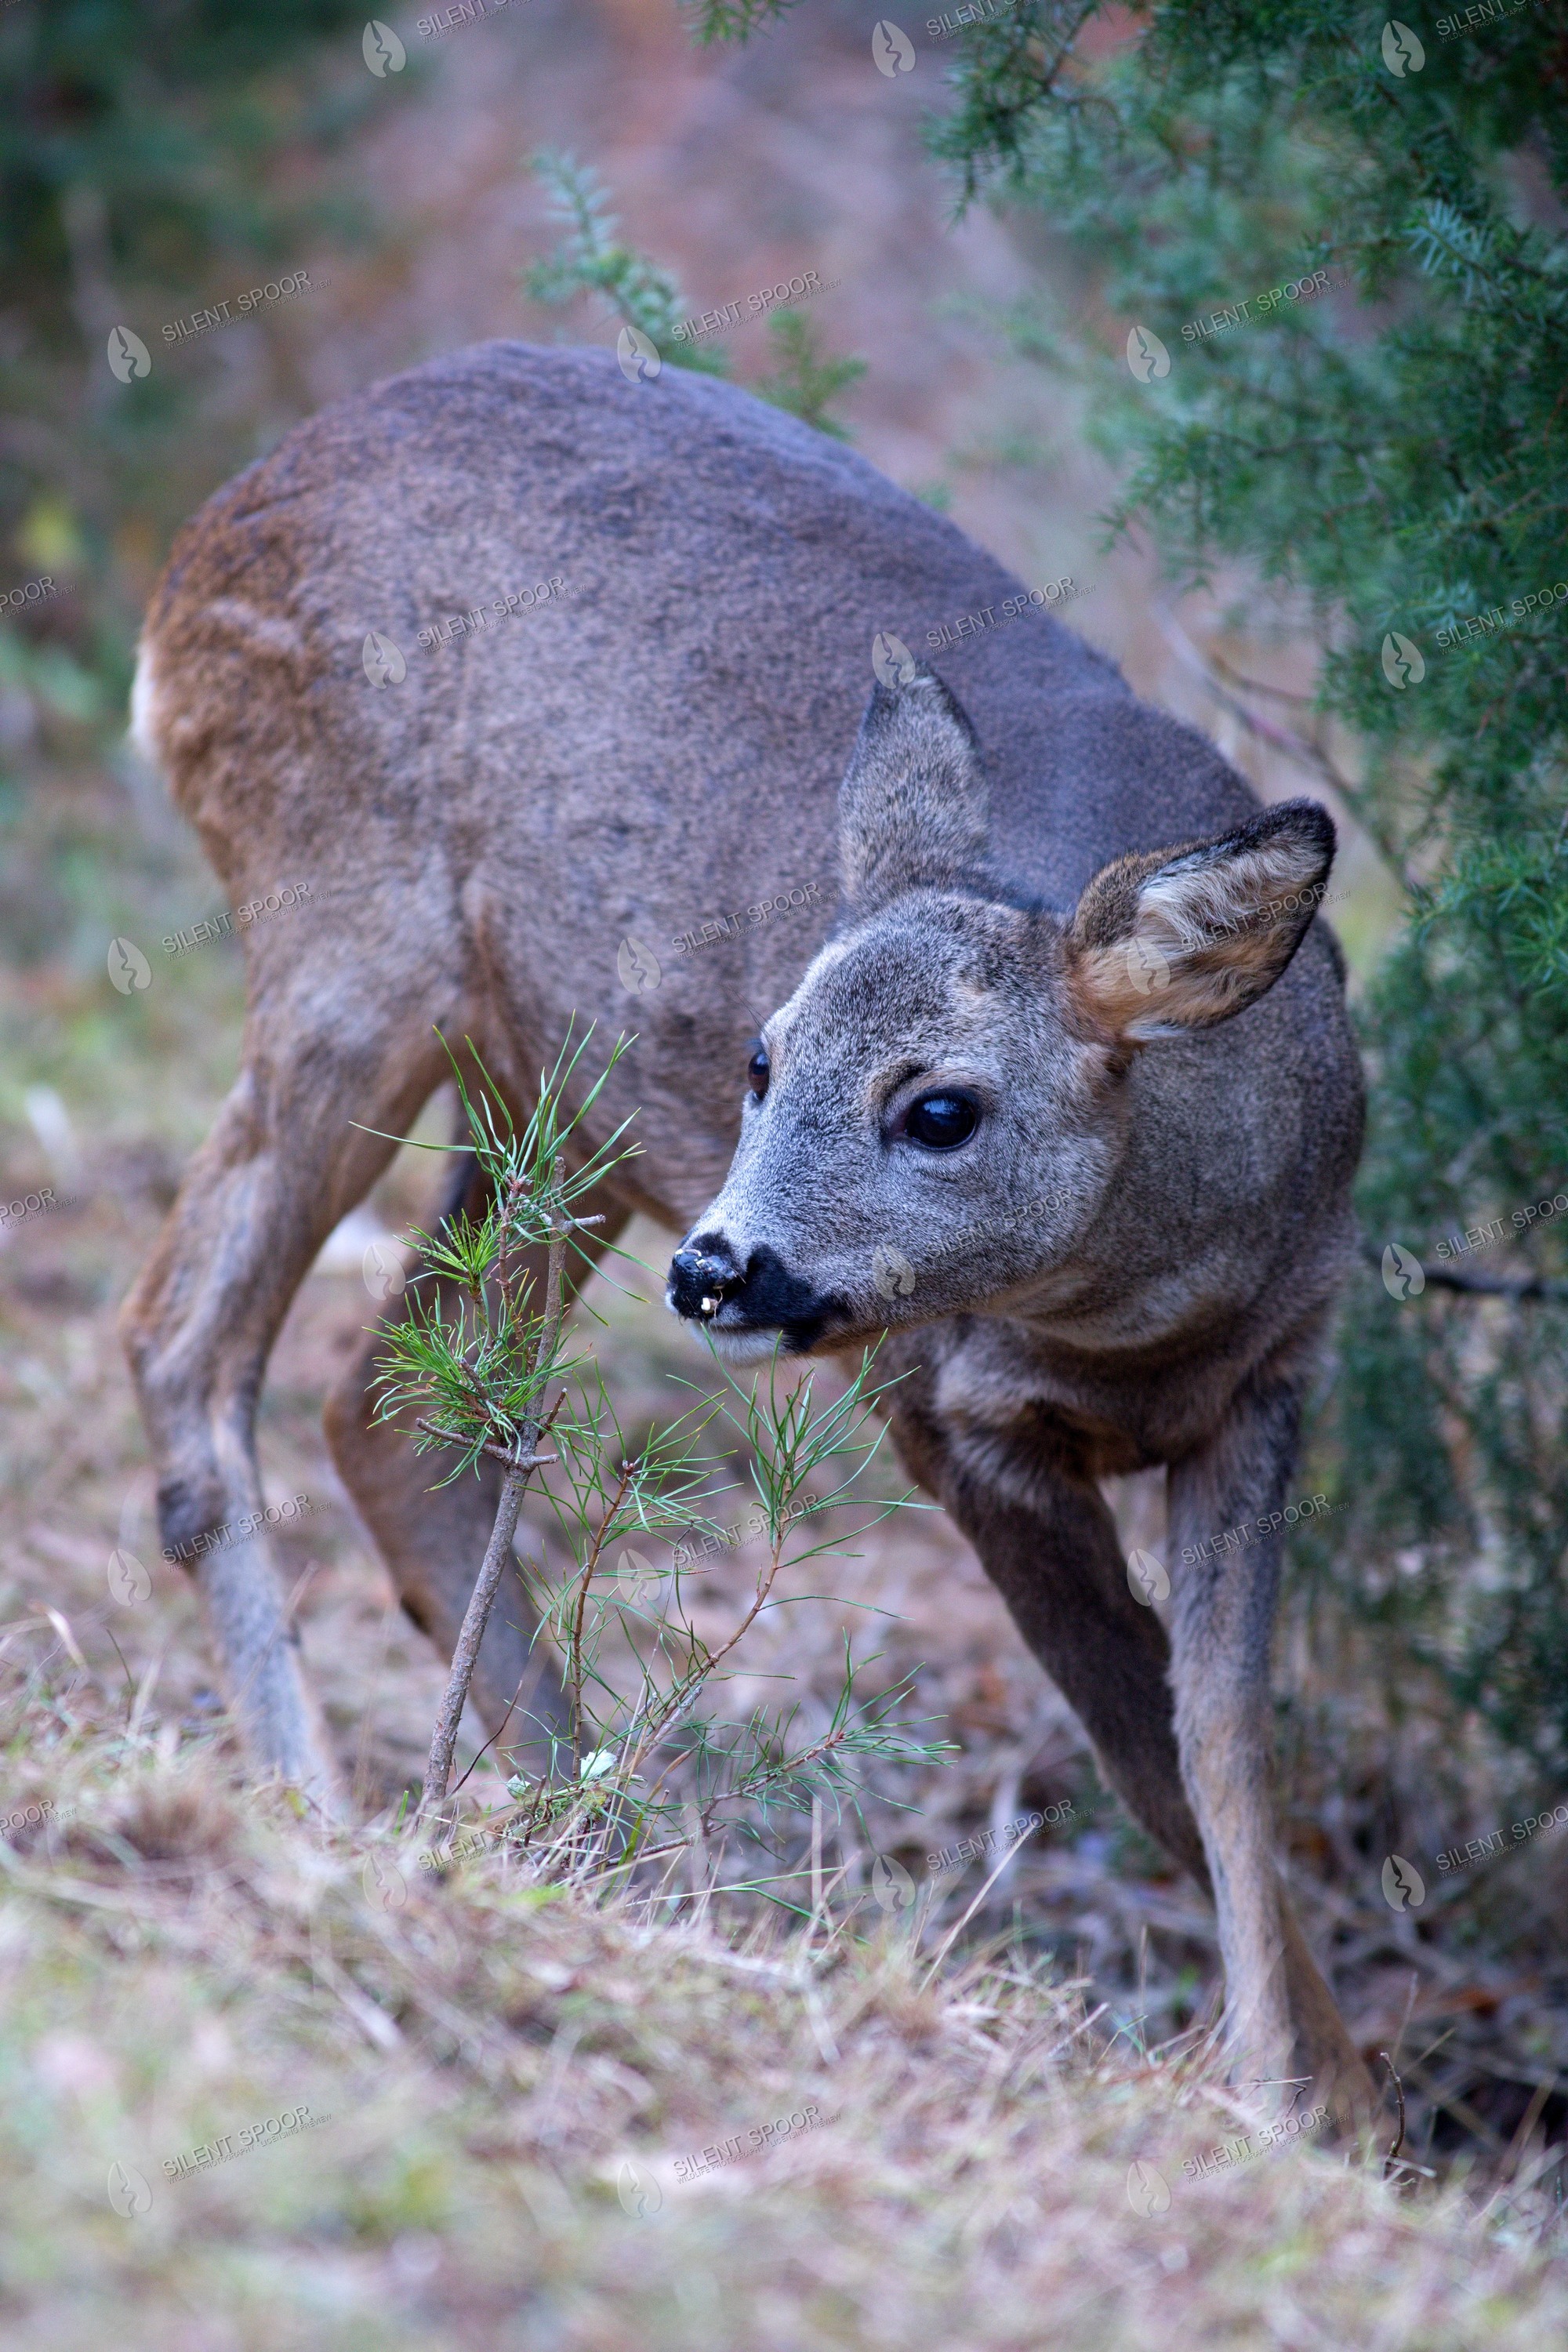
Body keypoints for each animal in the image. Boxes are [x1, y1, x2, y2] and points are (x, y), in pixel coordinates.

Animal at [122, 339, 1374, 2125]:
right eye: (766, 1059)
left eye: (941, 1107)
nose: (721, 1266)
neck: (1136, 1313)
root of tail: (199, 547)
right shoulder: (942, 1406)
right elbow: (1140, 1736)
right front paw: (1294, 2102)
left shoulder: (1272, 1378)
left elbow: (1221, 1747)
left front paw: (1322, 2095)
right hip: (350, 941)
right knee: (190, 1332)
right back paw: (323, 1809)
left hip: (557, 1095)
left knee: (390, 1398)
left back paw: (593, 1833)